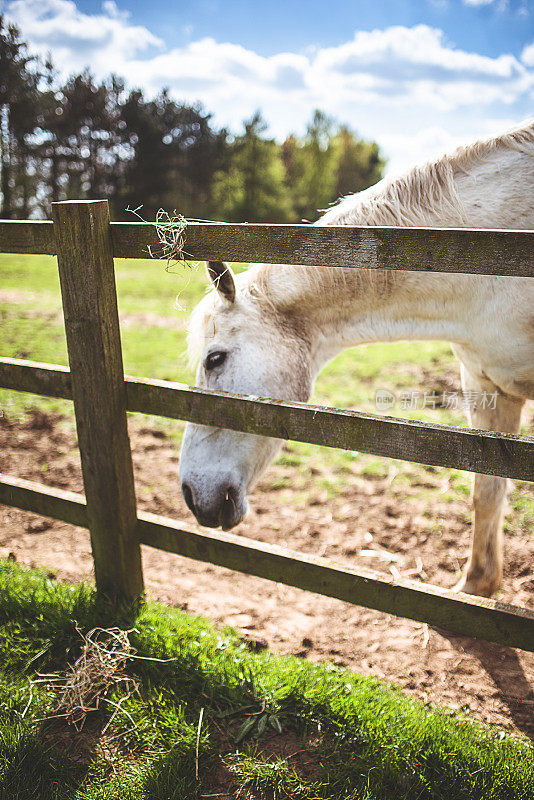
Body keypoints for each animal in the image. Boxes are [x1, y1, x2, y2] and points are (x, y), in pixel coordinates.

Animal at [180, 122, 534, 596]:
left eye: (215, 359)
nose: (189, 493)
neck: (494, 257)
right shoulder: (487, 386)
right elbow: (487, 490)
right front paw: (475, 589)